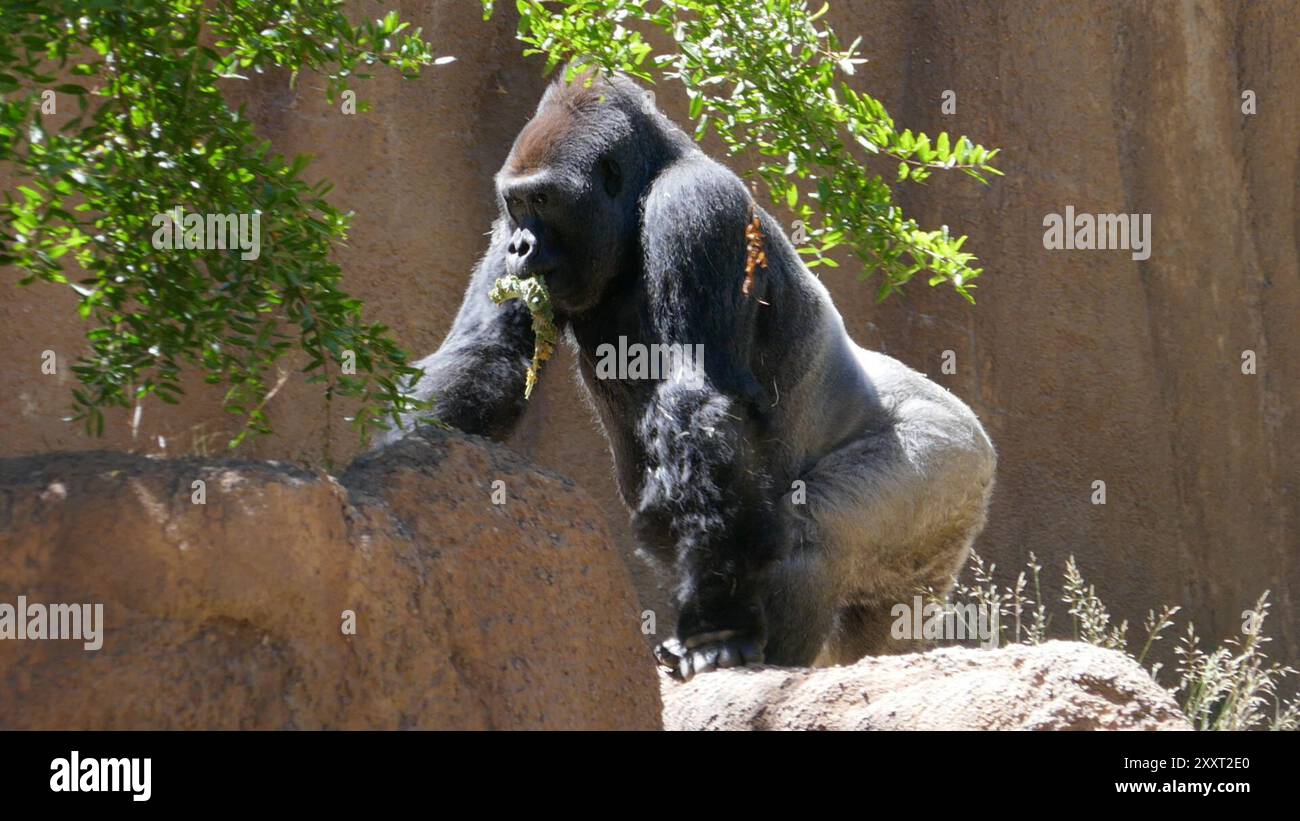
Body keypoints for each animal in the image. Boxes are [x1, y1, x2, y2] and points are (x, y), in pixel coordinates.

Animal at [379, 70, 996, 680]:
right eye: (517, 202)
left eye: (544, 200)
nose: (521, 244)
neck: (643, 191)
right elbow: (488, 350)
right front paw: (396, 464)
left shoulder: (697, 206)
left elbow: (696, 394)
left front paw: (720, 630)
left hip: (951, 458)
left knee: (813, 527)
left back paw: (767, 651)